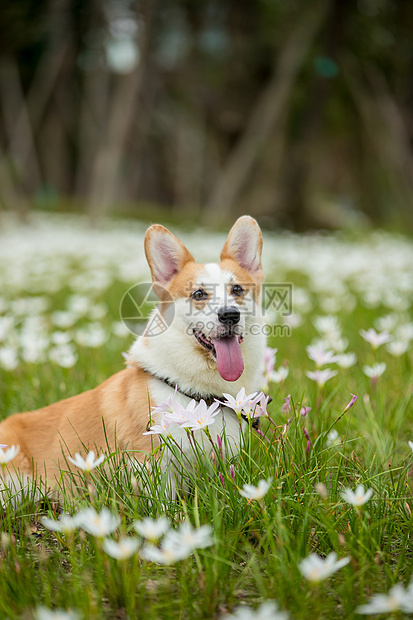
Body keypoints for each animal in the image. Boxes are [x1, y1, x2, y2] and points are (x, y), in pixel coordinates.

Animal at [0, 216, 264, 496]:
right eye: (199, 294)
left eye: (237, 289)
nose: (229, 315)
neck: (197, 392)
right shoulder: (151, 462)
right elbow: (166, 502)